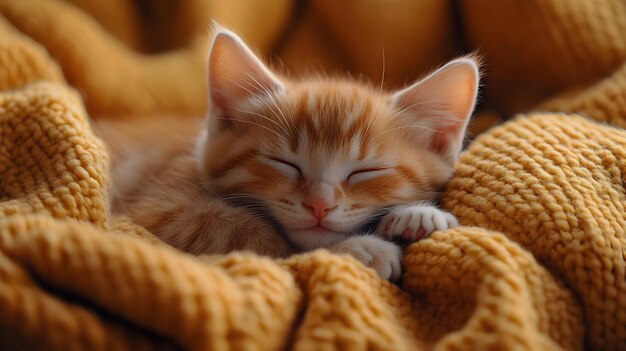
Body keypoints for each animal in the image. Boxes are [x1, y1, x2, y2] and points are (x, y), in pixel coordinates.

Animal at [98, 27, 478, 280]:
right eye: (285, 163)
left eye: (365, 171)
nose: (319, 205)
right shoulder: (158, 209)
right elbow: (268, 243)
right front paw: (361, 248)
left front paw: (419, 216)